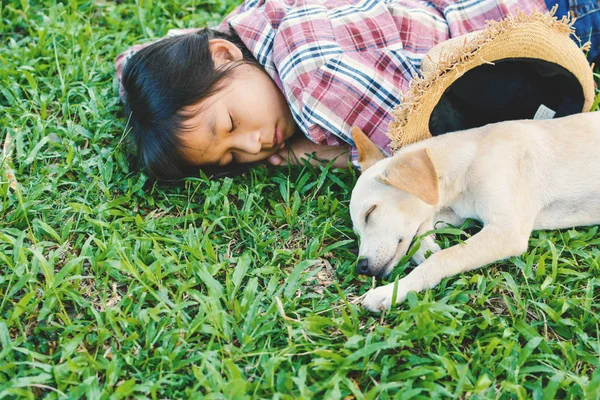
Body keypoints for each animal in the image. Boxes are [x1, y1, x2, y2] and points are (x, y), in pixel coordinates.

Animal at [352, 112, 600, 312]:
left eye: (370, 212)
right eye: (357, 231)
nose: (361, 267)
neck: (471, 158)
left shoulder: (507, 232)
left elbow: (444, 257)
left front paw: (392, 291)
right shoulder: (458, 213)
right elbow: (423, 228)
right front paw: (425, 248)